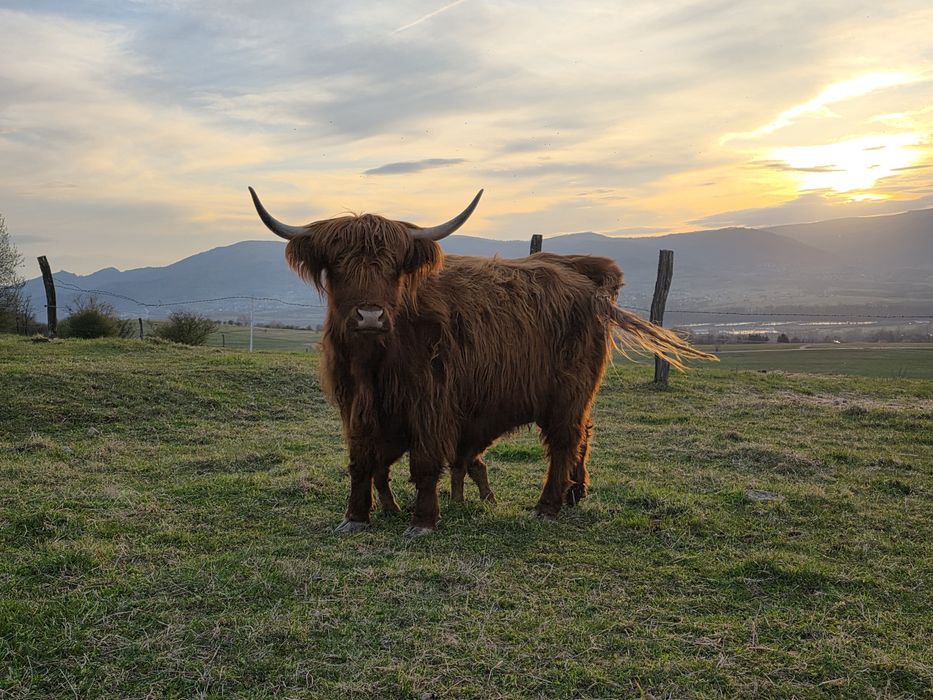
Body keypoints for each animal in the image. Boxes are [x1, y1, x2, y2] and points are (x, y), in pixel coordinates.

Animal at [249, 187, 715, 536]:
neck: (376, 361)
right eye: (338, 263)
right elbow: (362, 460)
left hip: (569, 391)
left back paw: (547, 506)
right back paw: (574, 494)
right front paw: (356, 517)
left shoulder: (432, 402)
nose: (368, 316)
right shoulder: (356, 406)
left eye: (394, 266)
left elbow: (424, 462)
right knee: (583, 435)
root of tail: (585, 272)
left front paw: (423, 521)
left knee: (565, 441)